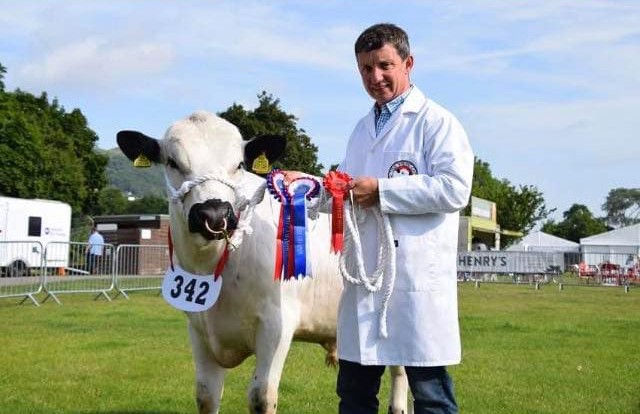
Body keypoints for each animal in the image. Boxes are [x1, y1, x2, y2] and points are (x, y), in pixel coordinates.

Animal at [117, 111, 409, 414]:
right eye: (172, 162)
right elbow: (206, 395)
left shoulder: (276, 324)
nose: (214, 214)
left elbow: (261, 396)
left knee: (401, 371)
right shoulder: (198, 328)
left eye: (239, 164)